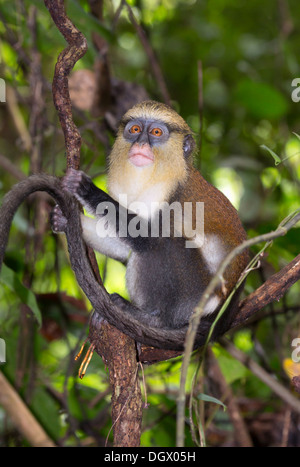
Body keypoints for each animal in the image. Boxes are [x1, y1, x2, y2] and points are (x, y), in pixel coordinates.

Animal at [0, 101, 248, 352]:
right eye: (135, 129)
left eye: (156, 132)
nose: (140, 144)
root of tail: (219, 314)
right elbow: (125, 249)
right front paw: (64, 219)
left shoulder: (171, 197)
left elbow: (147, 237)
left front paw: (86, 190)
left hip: (195, 295)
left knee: (164, 244)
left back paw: (153, 319)